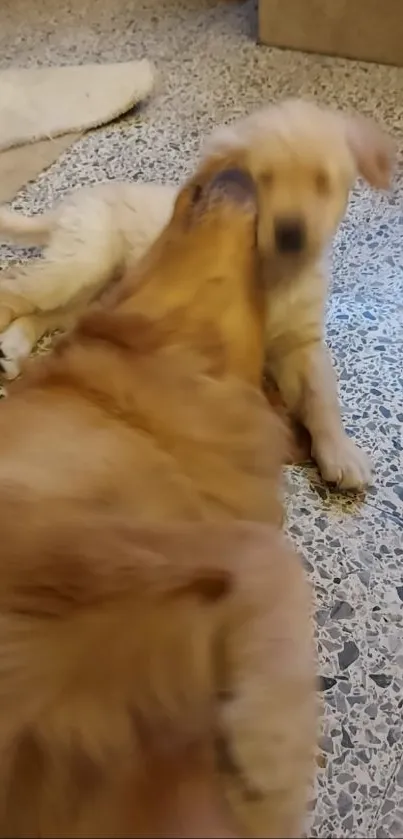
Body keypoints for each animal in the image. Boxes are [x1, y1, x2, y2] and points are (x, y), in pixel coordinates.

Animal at [0, 98, 394, 492]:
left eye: (322, 182)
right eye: (263, 180)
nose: (291, 234)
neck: (275, 272)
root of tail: (76, 201)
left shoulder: (301, 344)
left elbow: (322, 395)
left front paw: (341, 452)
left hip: (92, 291)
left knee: (42, 312)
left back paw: (11, 350)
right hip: (83, 260)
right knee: (16, 286)